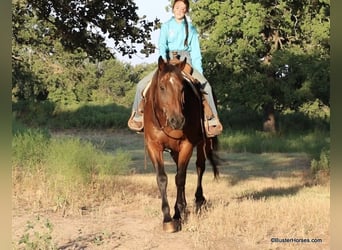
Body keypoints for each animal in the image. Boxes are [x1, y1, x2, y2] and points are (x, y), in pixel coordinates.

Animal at [142, 56, 219, 232]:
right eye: (162, 87)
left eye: (182, 89)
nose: (177, 120)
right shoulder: (153, 146)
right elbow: (162, 178)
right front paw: (167, 219)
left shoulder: (187, 145)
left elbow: (180, 178)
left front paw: (177, 215)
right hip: (174, 150)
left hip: (202, 143)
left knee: (199, 167)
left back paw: (198, 200)